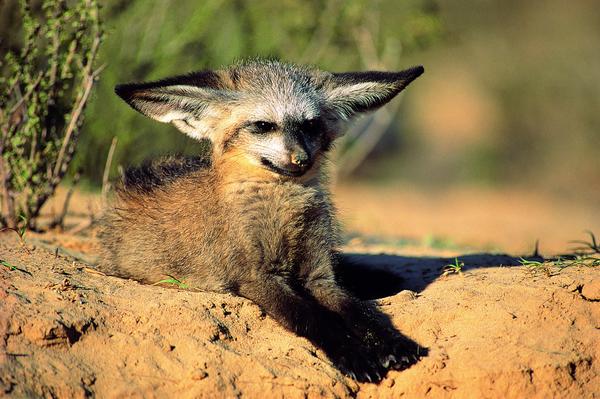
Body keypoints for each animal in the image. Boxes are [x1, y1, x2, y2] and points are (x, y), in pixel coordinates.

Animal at [98, 57, 424, 382]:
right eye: (264, 126)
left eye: (310, 125)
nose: (302, 159)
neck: (283, 212)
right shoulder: (257, 278)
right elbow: (315, 319)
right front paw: (356, 355)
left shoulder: (320, 275)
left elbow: (360, 312)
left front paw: (393, 343)